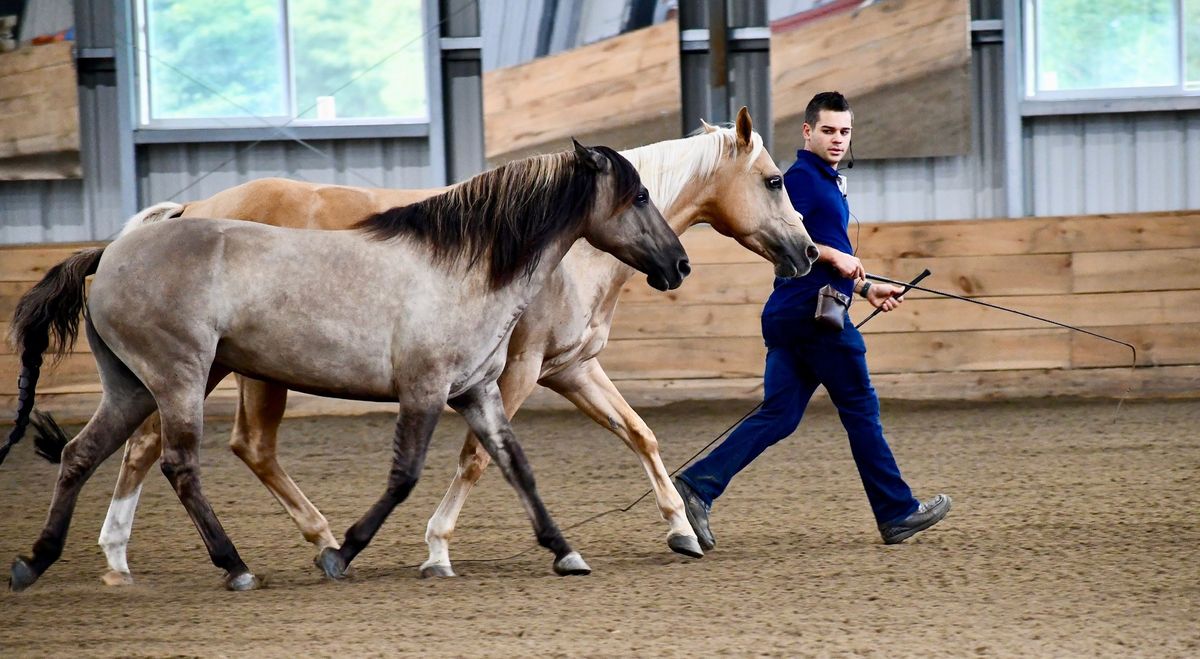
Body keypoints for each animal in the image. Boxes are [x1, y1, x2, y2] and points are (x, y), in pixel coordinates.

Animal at [30, 106, 825, 580]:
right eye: (775, 180)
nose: (808, 253)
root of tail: (188, 211)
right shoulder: (515, 371)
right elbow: (476, 458)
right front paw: (437, 547)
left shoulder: (571, 370)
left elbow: (640, 434)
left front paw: (682, 529)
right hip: (232, 372)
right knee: (229, 448)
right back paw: (303, 543)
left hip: (206, 371)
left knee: (143, 445)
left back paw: (118, 555)